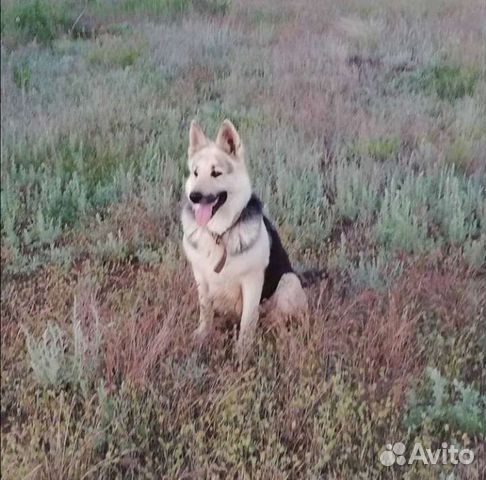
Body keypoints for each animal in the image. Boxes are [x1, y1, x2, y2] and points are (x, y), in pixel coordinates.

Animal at [182, 120, 312, 360]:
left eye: (216, 173)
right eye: (195, 173)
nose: (194, 196)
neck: (220, 233)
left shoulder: (252, 282)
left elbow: (248, 321)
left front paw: (243, 351)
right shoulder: (201, 278)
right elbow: (205, 310)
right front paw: (203, 334)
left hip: (288, 281)